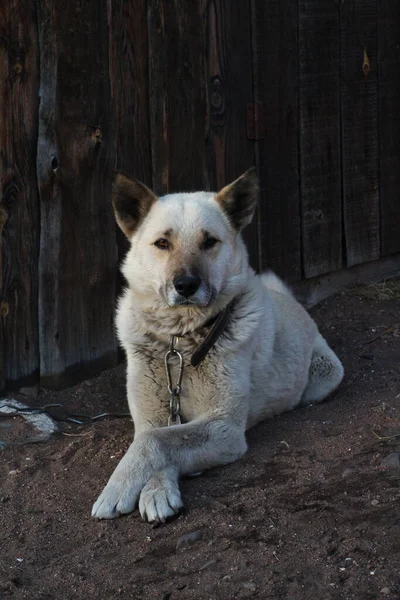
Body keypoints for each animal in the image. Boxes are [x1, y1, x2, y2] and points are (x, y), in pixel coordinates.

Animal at [91, 168, 344, 520]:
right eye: (162, 243)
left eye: (209, 241)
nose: (185, 285)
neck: (181, 342)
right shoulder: (152, 417)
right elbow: (154, 438)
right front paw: (155, 488)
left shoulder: (224, 428)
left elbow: (157, 441)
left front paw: (120, 488)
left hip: (325, 374)